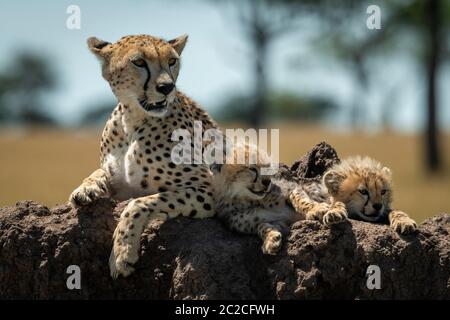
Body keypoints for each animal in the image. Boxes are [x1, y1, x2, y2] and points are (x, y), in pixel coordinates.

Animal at [67, 33, 219, 278]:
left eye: (172, 61)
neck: (133, 120)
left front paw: (121, 254)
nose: (167, 87)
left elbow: (139, 204)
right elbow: (100, 171)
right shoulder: (119, 187)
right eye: (139, 62)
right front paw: (85, 189)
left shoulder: (208, 189)